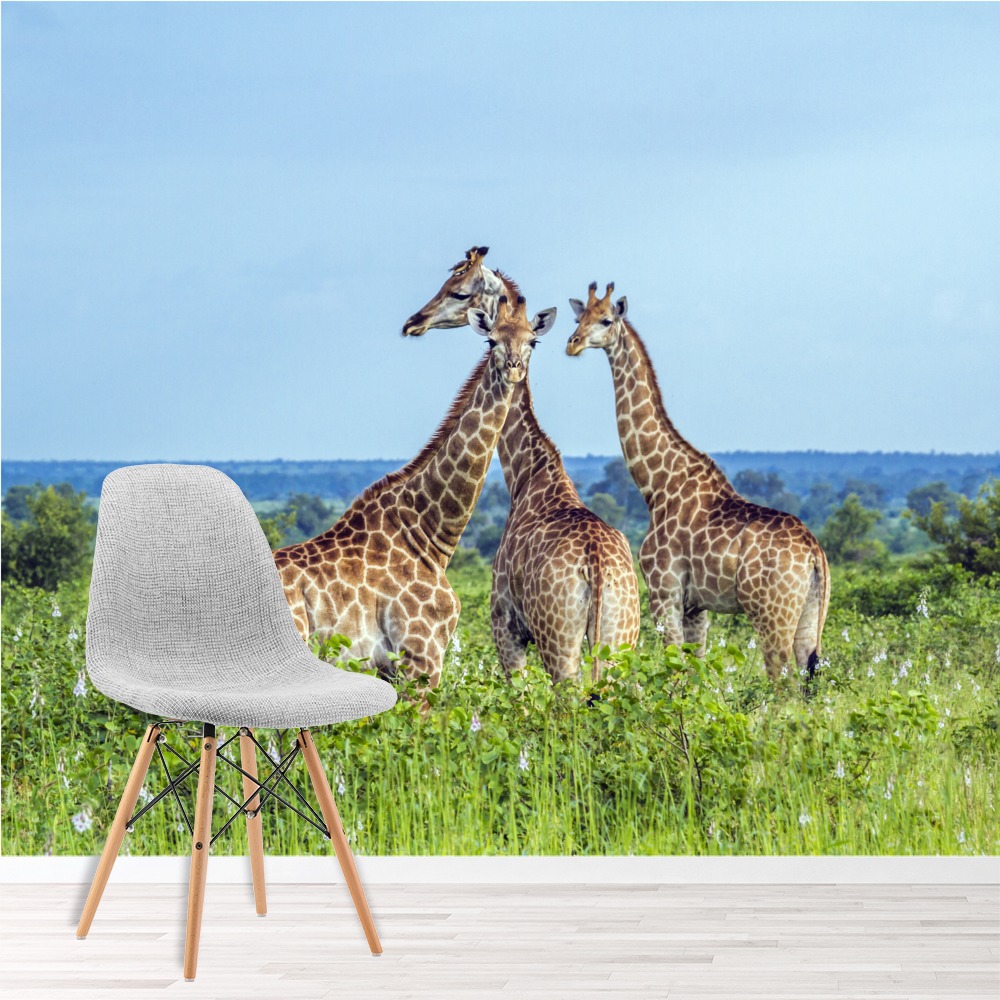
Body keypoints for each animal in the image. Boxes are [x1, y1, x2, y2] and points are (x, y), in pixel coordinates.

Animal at [274, 292, 556, 692]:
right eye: (491, 341)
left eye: (533, 341)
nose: (514, 368)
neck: (428, 533)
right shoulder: (421, 655)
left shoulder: (393, 666)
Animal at [405, 257, 641, 682]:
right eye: (493, 339)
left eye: (458, 291)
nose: (416, 321)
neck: (528, 475)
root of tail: (596, 566)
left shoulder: (505, 626)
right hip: (620, 639)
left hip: (559, 642)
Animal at [566, 282, 830, 682]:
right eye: (578, 317)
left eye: (606, 319)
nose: (573, 343)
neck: (657, 485)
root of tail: (815, 553)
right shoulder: (696, 606)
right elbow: (695, 671)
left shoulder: (664, 591)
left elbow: (675, 670)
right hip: (811, 616)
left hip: (771, 613)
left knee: (783, 680)